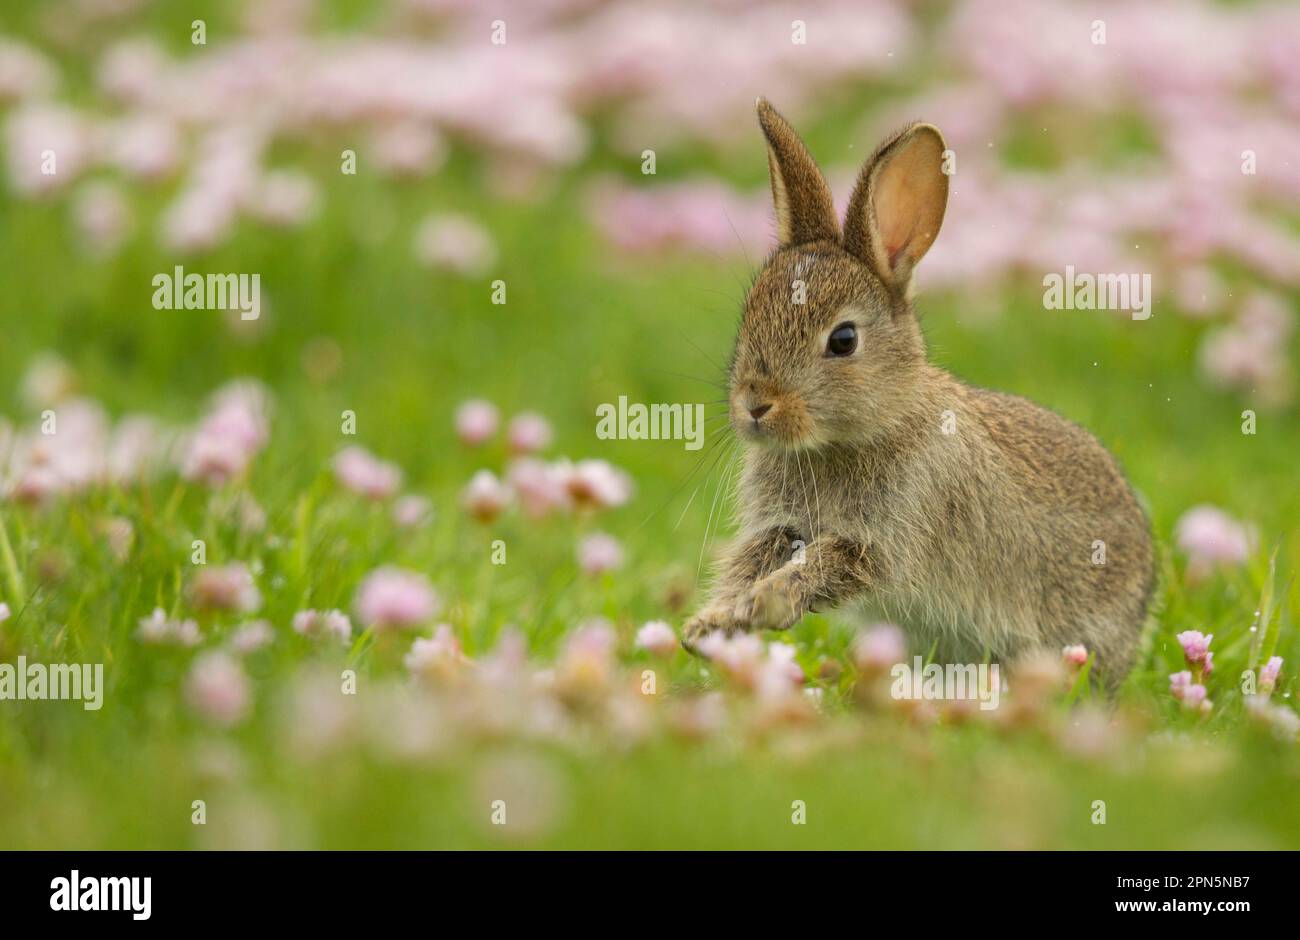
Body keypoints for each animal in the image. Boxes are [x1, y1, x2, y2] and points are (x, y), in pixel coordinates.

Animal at [681, 98, 1154, 682]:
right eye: (749, 317)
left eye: (843, 340)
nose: (755, 406)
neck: (859, 433)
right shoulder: (783, 526)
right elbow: (753, 558)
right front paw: (710, 625)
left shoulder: (887, 536)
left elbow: (828, 564)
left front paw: (764, 603)